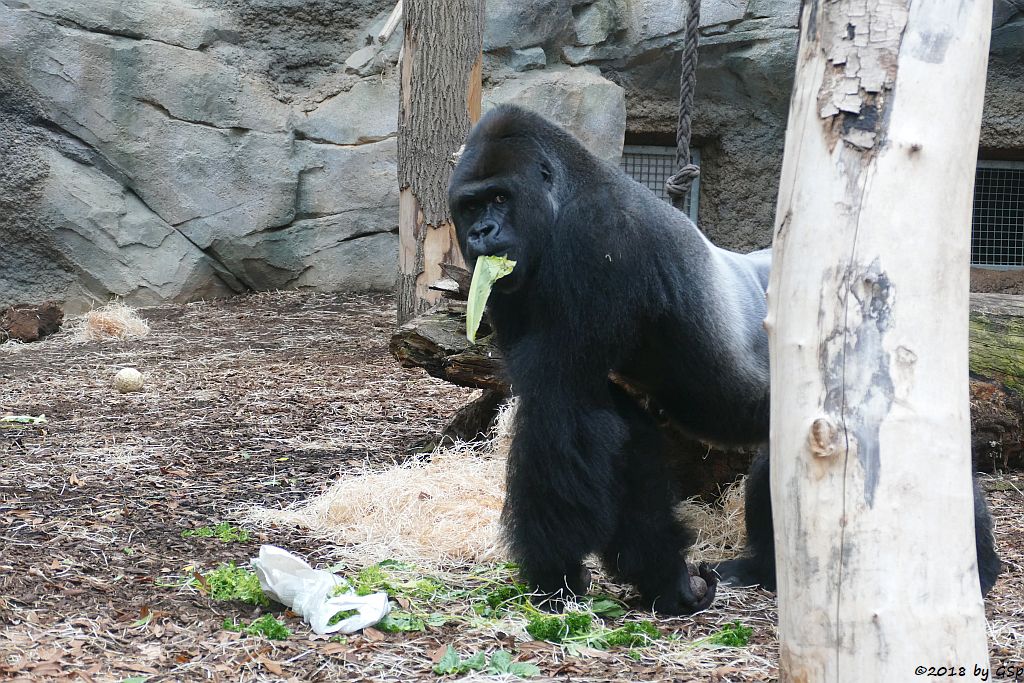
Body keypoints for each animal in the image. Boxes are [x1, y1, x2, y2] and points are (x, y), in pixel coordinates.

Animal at [448, 104, 999, 618]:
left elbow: (564, 413)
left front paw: (554, 576)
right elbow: (618, 430)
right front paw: (667, 579)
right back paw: (763, 569)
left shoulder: (600, 239)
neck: (563, 201)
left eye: (500, 198)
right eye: (470, 206)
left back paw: (977, 565)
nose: (481, 233)